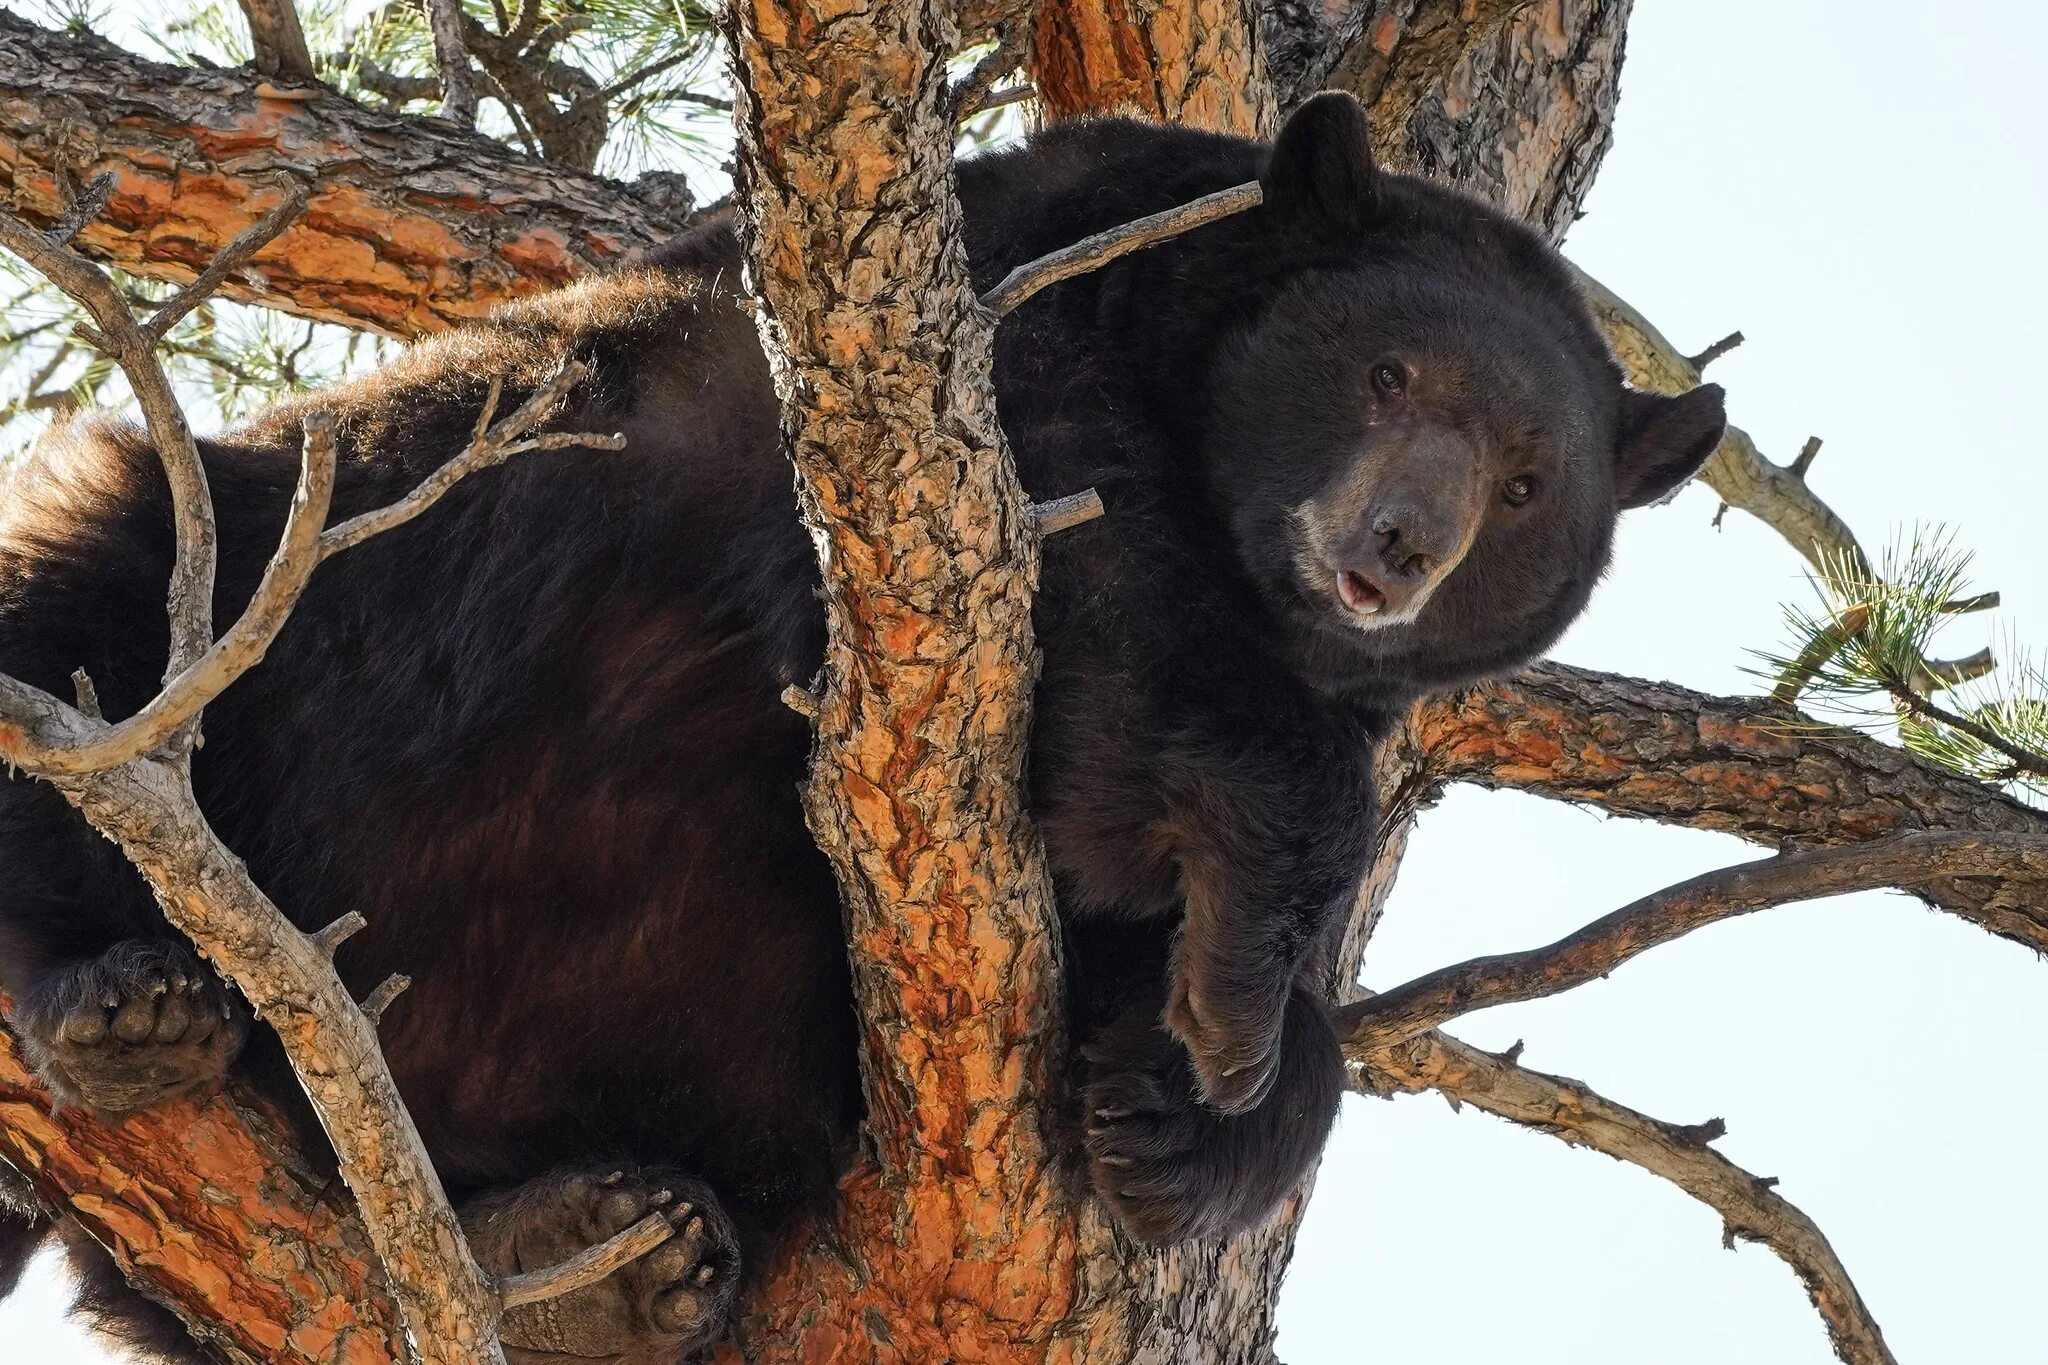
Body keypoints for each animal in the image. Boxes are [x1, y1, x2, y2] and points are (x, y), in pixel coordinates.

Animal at [0, 90, 1728, 1358]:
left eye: (1529, 480)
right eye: (1388, 371)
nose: (1397, 544)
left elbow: (1115, 889)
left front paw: (1192, 1098)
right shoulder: (986, 342)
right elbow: (1098, 585)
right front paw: (1250, 912)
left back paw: (592, 1265)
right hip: (288, 579)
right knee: (95, 606)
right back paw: (116, 997)